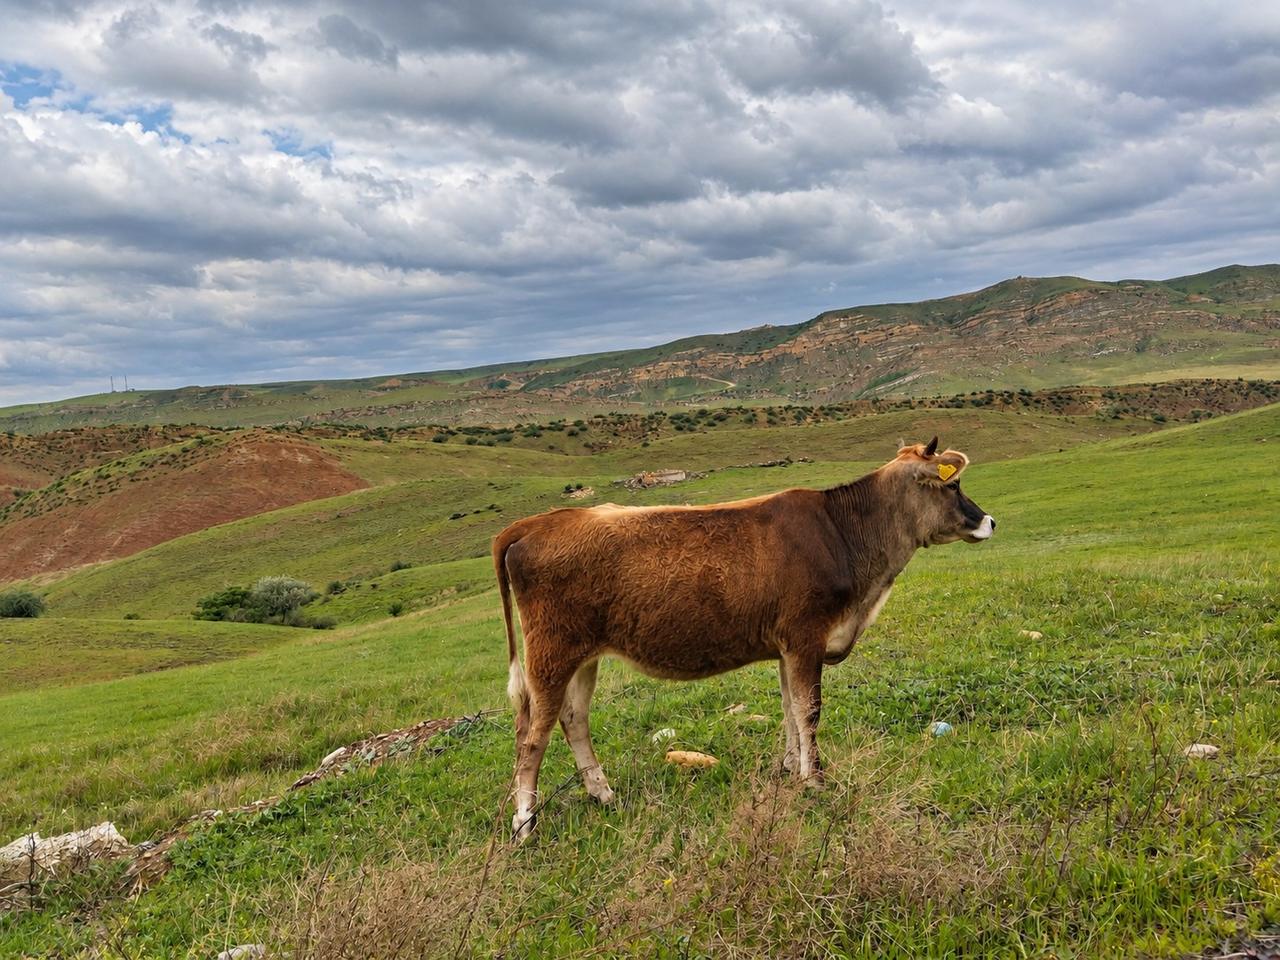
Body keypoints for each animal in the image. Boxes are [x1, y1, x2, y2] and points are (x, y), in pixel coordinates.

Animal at [493, 437, 995, 839]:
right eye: (952, 485)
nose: (989, 521)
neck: (843, 535)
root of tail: (534, 523)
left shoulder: (788, 647)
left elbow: (791, 709)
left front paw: (792, 768)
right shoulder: (807, 636)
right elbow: (809, 711)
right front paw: (815, 781)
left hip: (584, 655)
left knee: (573, 719)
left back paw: (603, 794)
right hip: (550, 655)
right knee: (531, 737)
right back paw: (525, 823)